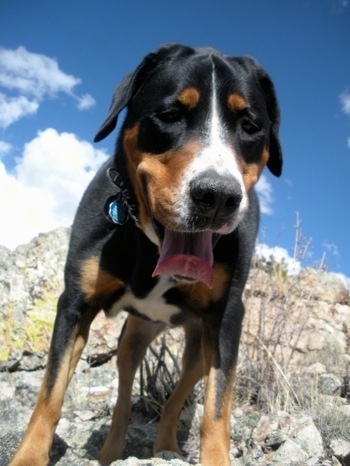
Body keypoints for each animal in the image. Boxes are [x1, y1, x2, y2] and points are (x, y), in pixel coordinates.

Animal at [10, 43, 282, 466]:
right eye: (170, 115)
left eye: (251, 126)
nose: (218, 196)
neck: (149, 241)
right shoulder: (74, 304)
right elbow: (50, 393)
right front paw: (28, 456)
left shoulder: (226, 320)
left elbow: (217, 411)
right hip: (133, 338)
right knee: (123, 397)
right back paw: (111, 452)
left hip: (197, 346)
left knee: (176, 397)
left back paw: (165, 447)